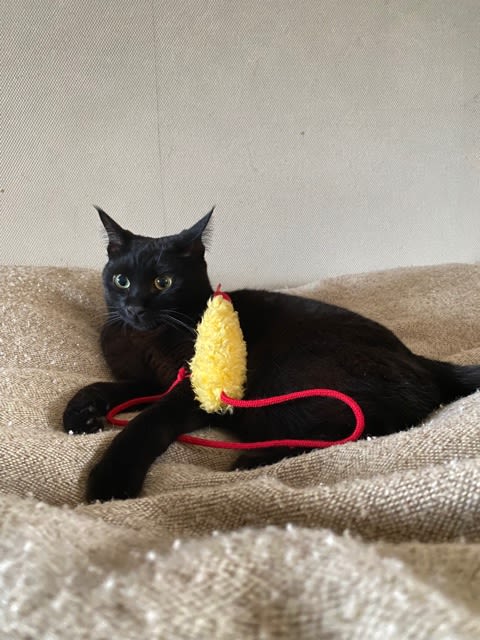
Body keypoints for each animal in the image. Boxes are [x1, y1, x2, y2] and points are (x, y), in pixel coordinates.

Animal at [63, 209, 480, 502]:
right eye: (121, 280)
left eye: (162, 282)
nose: (134, 307)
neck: (147, 337)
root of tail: (419, 359)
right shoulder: (147, 378)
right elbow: (104, 386)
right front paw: (80, 412)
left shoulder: (195, 390)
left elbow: (148, 420)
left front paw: (111, 479)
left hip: (286, 377)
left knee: (365, 427)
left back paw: (251, 460)